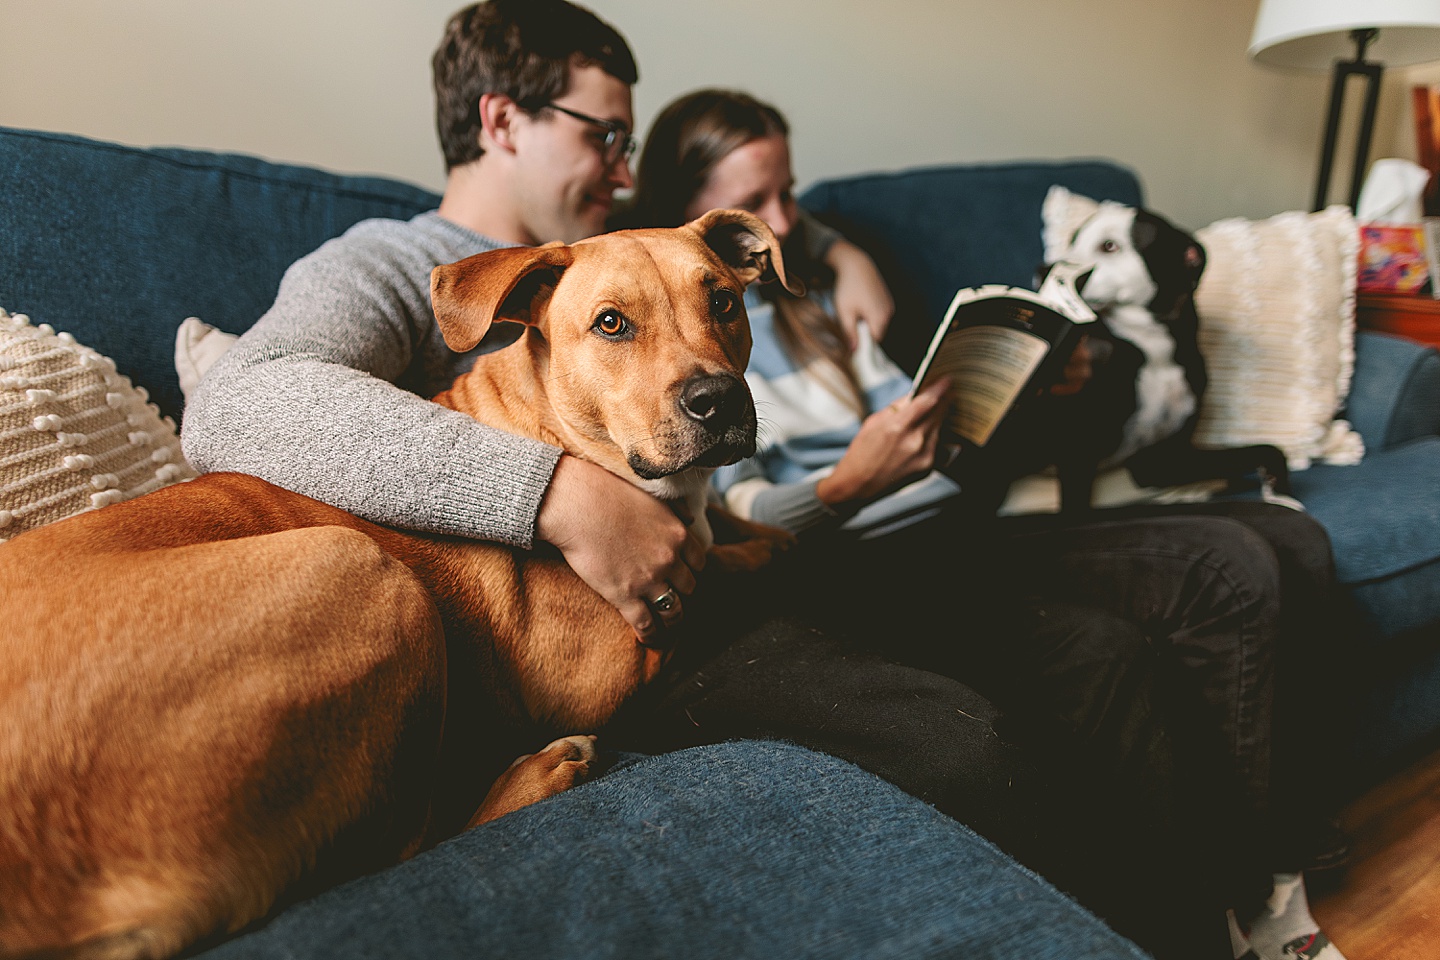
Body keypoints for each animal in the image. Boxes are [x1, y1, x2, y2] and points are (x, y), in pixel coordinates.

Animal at [0, 210, 794, 960]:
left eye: (724, 302)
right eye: (610, 324)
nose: (719, 400)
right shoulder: (603, 665)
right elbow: (720, 571)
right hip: (360, 571)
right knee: (399, 844)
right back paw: (538, 775)